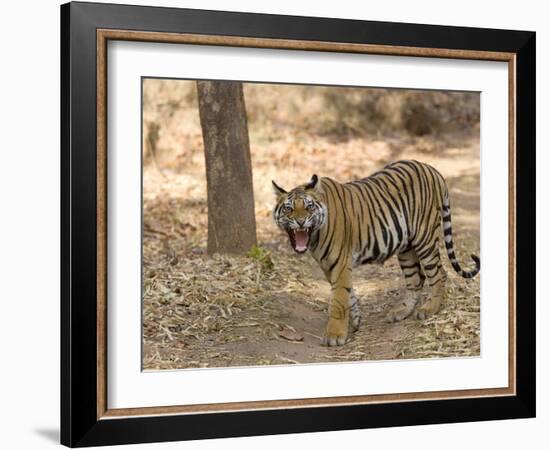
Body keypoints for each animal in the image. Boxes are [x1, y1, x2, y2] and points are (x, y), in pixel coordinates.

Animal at [274, 160, 480, 346]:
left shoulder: (340, 263)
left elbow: (338, 299)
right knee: (415, 278)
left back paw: (430, 309)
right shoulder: (328, 266)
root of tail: (431, 169)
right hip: (406, 247)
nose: (301, 222)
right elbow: (348, 294)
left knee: (439, 273)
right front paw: (356, 321)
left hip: (425, 237)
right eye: (288, 208)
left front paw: (334, 336)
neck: (315, 236)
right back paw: (401, 312)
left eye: (309, 207)